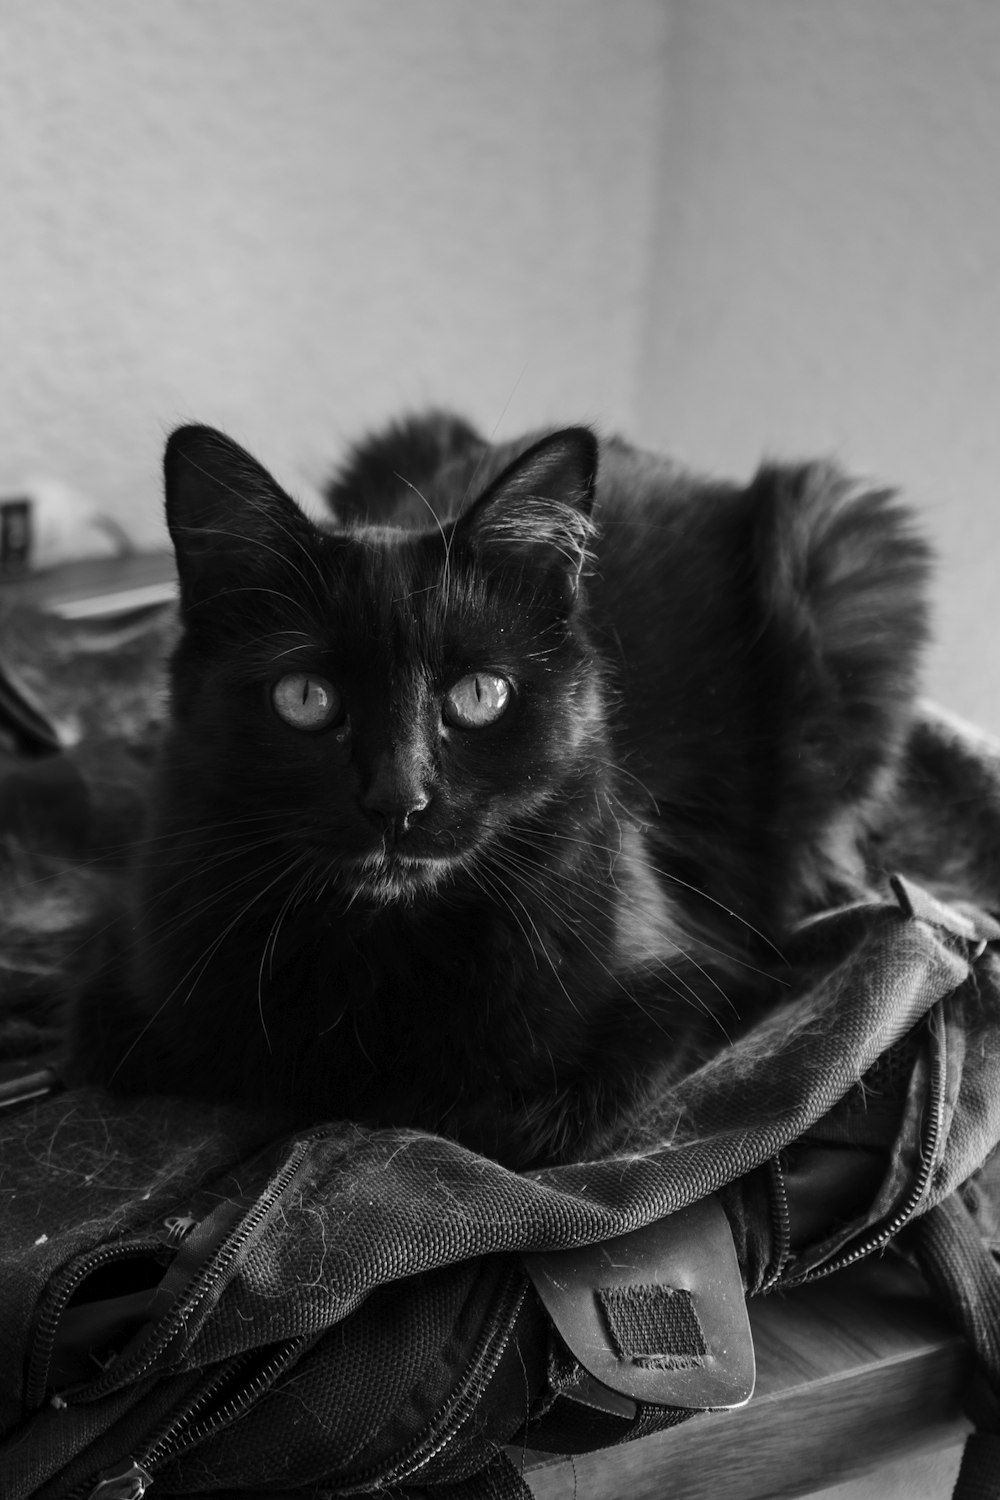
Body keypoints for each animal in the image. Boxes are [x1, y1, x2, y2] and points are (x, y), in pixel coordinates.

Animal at [70, 417, 929, 1164]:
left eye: (479, 696)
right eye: (305, 698)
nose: (398, 803)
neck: (383, 948)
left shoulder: (676, 986)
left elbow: (482, 1122)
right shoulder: (125, 1004)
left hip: (841, 554)